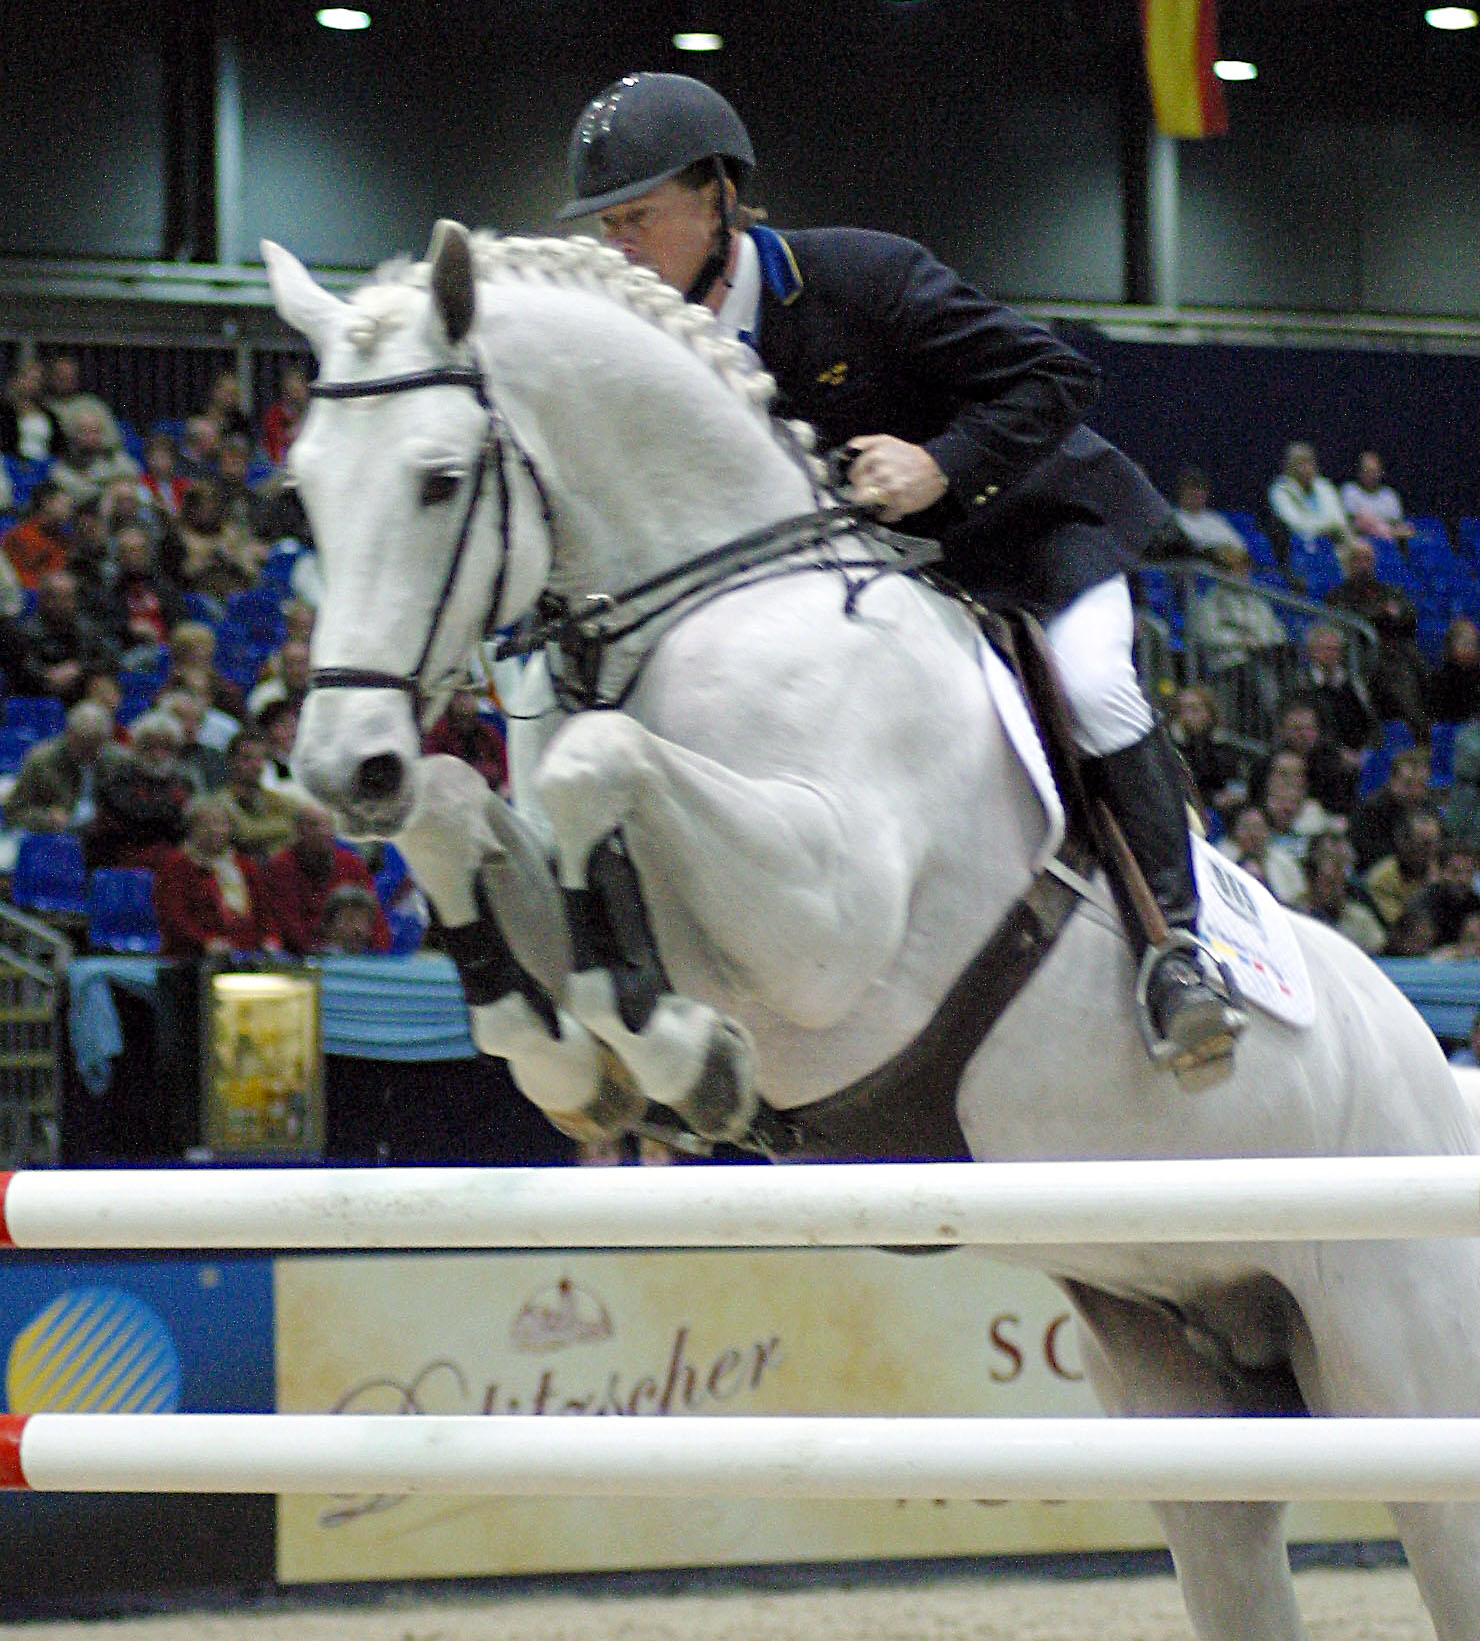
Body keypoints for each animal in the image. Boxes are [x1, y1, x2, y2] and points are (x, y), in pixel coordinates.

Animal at [269, 221, 1480, 1641]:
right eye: (300, 492)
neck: (703, 603)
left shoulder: (825, 923)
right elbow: (481, 813)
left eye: (438, 481)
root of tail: (1435, 1075)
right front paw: (582, 1058)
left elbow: (596, 770)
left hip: (1399, 1376)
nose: (345, 770)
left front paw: (682, 1058)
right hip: (1186, 1371)